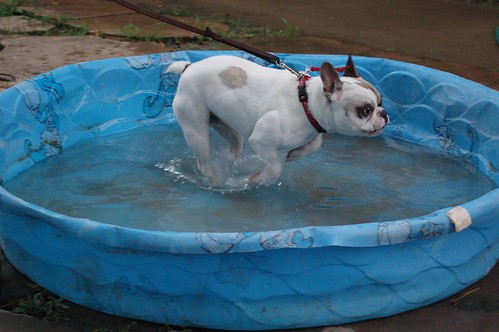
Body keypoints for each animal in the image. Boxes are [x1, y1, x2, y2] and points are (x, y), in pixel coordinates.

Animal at [170, 54, 388, 184]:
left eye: (381, 101)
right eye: (367, 110)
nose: (384, 113)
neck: (307, 103)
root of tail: (189, 66)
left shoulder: (313, 133)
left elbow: (314, 144)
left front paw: (295, 154)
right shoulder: (260, 140)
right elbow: (275, 167)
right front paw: (257, 178)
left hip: (226, 127)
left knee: (234, 147)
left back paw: (227, 161)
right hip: (196, 130)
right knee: (204, 162)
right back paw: (214, 180)